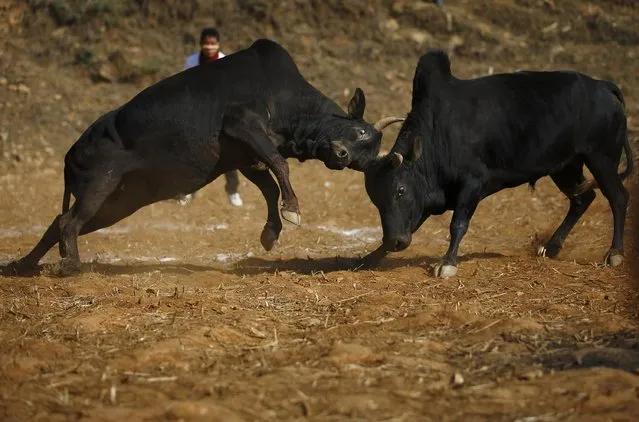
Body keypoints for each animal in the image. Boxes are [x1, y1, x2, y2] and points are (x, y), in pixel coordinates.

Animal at [6, 38, 404, 276]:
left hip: (117, 203)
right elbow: (280, 167)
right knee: (69, 221)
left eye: (367, 157)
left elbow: (269, 185)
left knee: (59, 222)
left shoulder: (243, 157)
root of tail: (68, 156)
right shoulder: (242, 125)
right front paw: (292, 211)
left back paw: (23, 265)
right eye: (360, 132)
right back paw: (69, 265)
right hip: (98, 188)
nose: (342, 155)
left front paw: (270, 232)